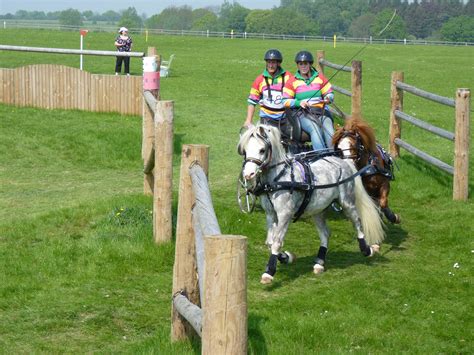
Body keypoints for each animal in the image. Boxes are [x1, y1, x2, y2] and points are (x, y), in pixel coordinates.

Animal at [237, 124, 386, 286]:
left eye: (262, 150)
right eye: (245, 150)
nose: (248, 175)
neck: (278, 178)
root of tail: (343, 162)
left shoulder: (285, 214)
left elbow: (276, 242)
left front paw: (269, 272)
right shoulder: (271, 214)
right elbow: (270, 242)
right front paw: (287, 257)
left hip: (347, 202)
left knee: (357, 223)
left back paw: (366, 250)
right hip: (318, 210)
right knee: (325, 233)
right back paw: (319, 262)